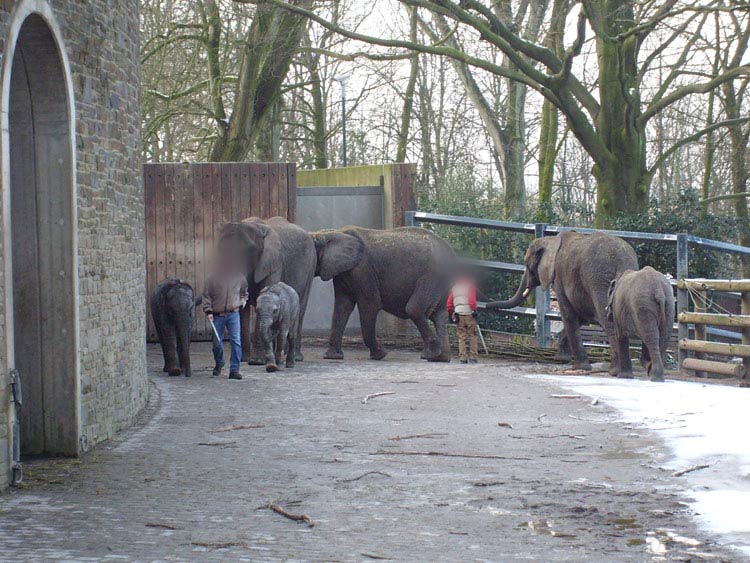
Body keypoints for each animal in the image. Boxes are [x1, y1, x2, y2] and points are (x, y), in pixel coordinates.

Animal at [216, 218, 316, 364]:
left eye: (249, 251)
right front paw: (244, 359)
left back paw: (295, 357)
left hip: (310, 267)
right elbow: (243, 310)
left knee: (300, 310)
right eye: (220, 249)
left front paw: (257, 361)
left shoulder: (273, 264)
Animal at [312, 227, 456, 364]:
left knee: (414, 309)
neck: (332, 232)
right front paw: (332, 356)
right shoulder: (342, 273)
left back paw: (430, 354)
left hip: (432, 276)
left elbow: (371, 304)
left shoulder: (362, 270)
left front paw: (380, 355)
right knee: (438, 315)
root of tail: (450, 251)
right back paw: (440, 358)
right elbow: (342, 307)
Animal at [488, 231, 640, 376]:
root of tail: (622, 258)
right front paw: (561, 359)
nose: (489, 305)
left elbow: (568, 315)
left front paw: (579, 367)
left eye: (527, 264)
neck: (551, 240)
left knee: (607, 320)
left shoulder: (559, 277)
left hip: (599, 281)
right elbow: (581, 317)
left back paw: (615, 371)